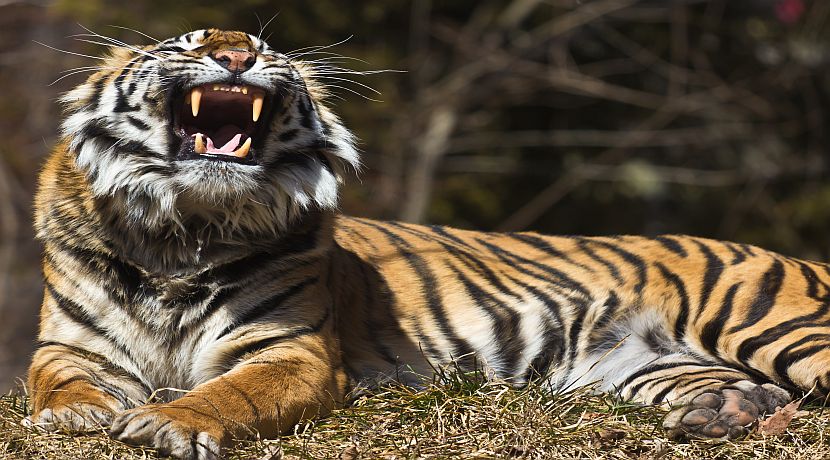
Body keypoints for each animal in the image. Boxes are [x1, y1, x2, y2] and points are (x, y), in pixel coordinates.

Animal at [26, 28, 826, 459]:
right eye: (187, 43)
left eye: (267, 47)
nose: (239, 56)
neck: (183, 232)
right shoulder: (68, 347)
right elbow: (58, 384)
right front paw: (76, 416)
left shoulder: (290, 352)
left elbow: (228, 393)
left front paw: (166, 422)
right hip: (647, 365)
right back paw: (726, 414)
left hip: (770, 321)